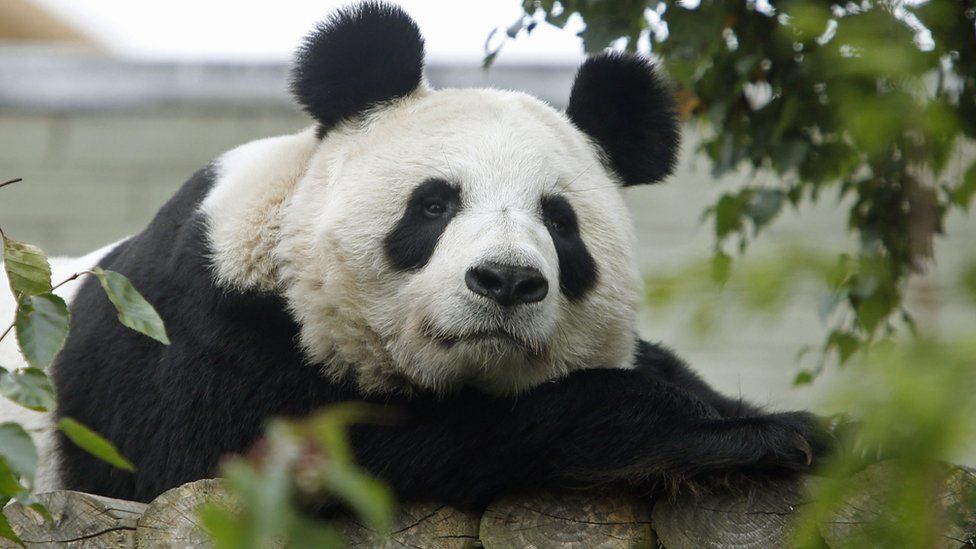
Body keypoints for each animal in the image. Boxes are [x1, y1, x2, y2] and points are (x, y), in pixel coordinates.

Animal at [7, 1, 828, 506]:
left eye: (560, 222)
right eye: (434, 204)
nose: (507, 280)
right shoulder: (195, 334)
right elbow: (309, 457)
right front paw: (735, 437)